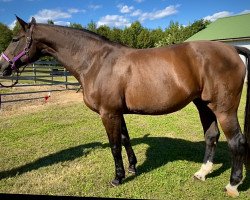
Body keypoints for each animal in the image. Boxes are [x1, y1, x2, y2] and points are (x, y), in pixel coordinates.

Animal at [0, 16, 250, 197]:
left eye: (14, 39)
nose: (3, 66)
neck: (96, 61)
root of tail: (232, 49)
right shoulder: (117, 112)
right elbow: (124, 139)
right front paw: (132, 167)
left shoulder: (108, 113)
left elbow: (114, 146)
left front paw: (118, 178)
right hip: (204, 105)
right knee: (211, 136)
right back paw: (202, 173)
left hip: (224, 109)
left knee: (236, 142)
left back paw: (233, 185)